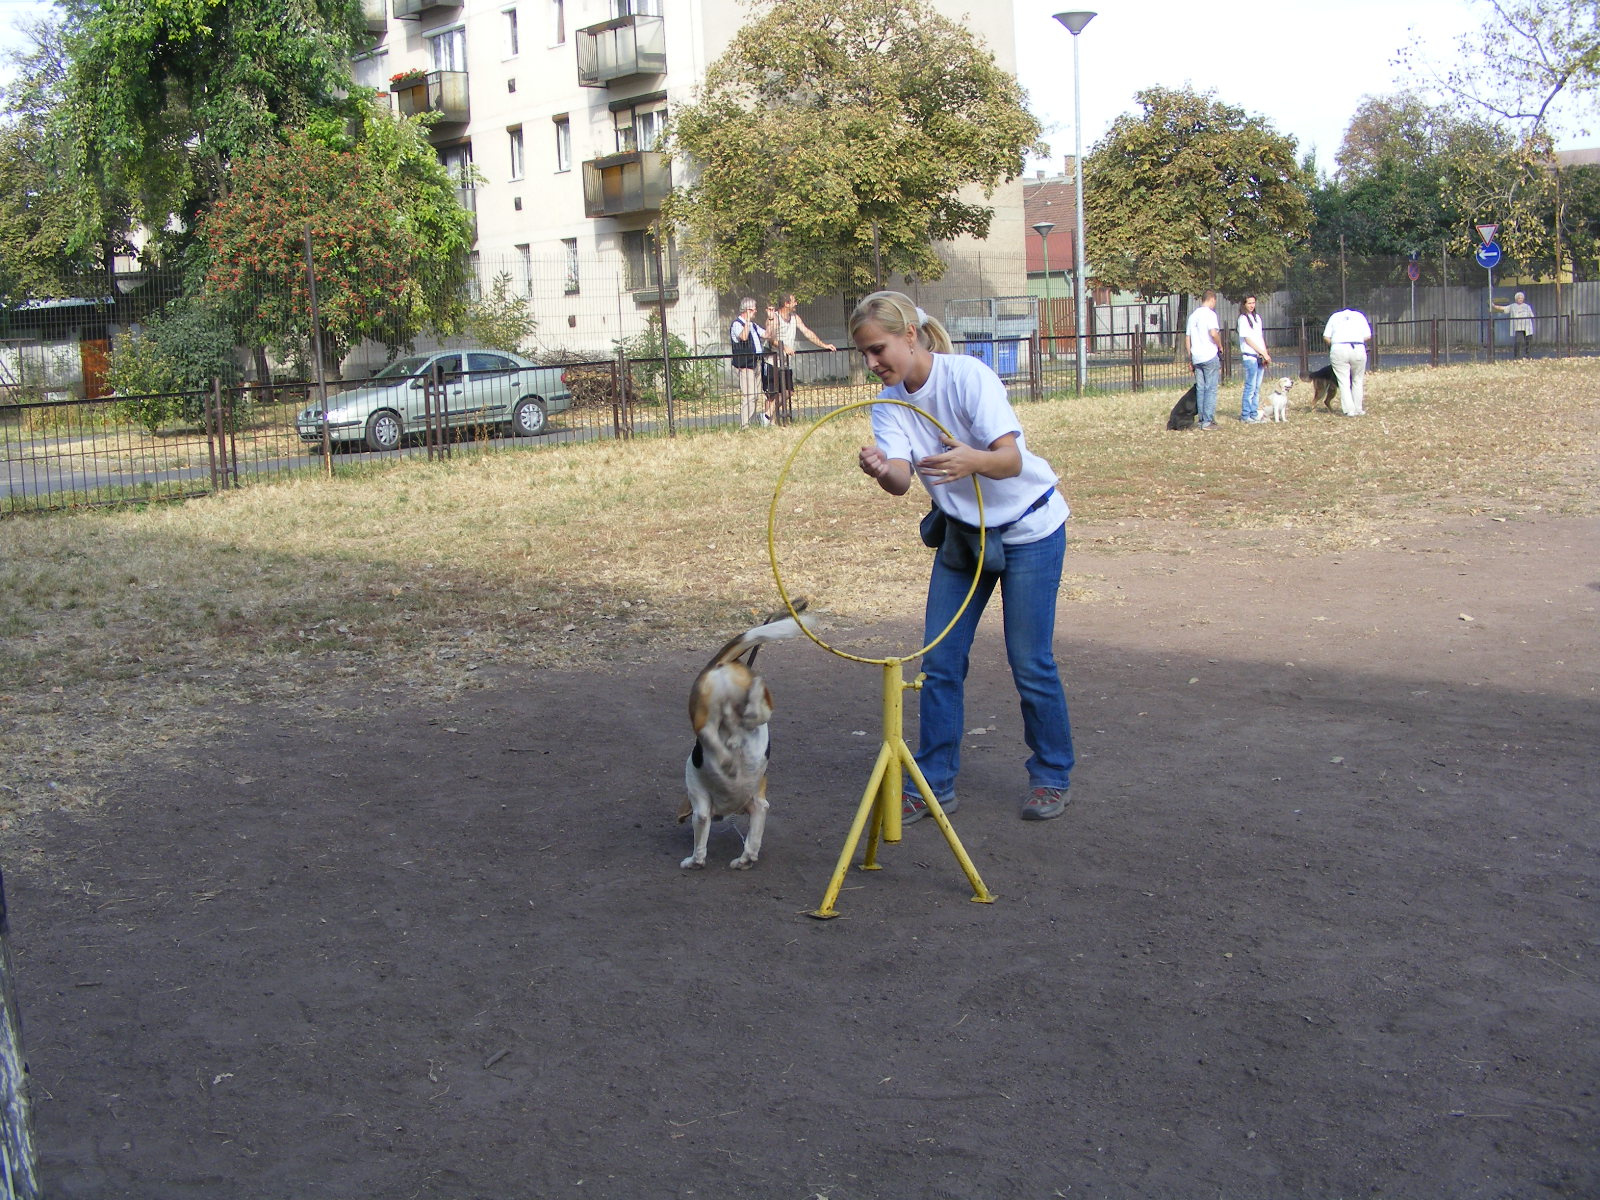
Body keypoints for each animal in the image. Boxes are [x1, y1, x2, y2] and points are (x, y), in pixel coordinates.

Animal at [681, 604, 819, 870]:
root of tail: (719, 663)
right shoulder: (759, 804)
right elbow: (753, 840)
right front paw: (745, 860)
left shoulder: (699, 800)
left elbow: (700, 845)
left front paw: (692, 861)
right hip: (746, 704)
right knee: (753, 715)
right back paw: (752, 699)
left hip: (698, 710)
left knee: (707, 730)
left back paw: (727, 756)